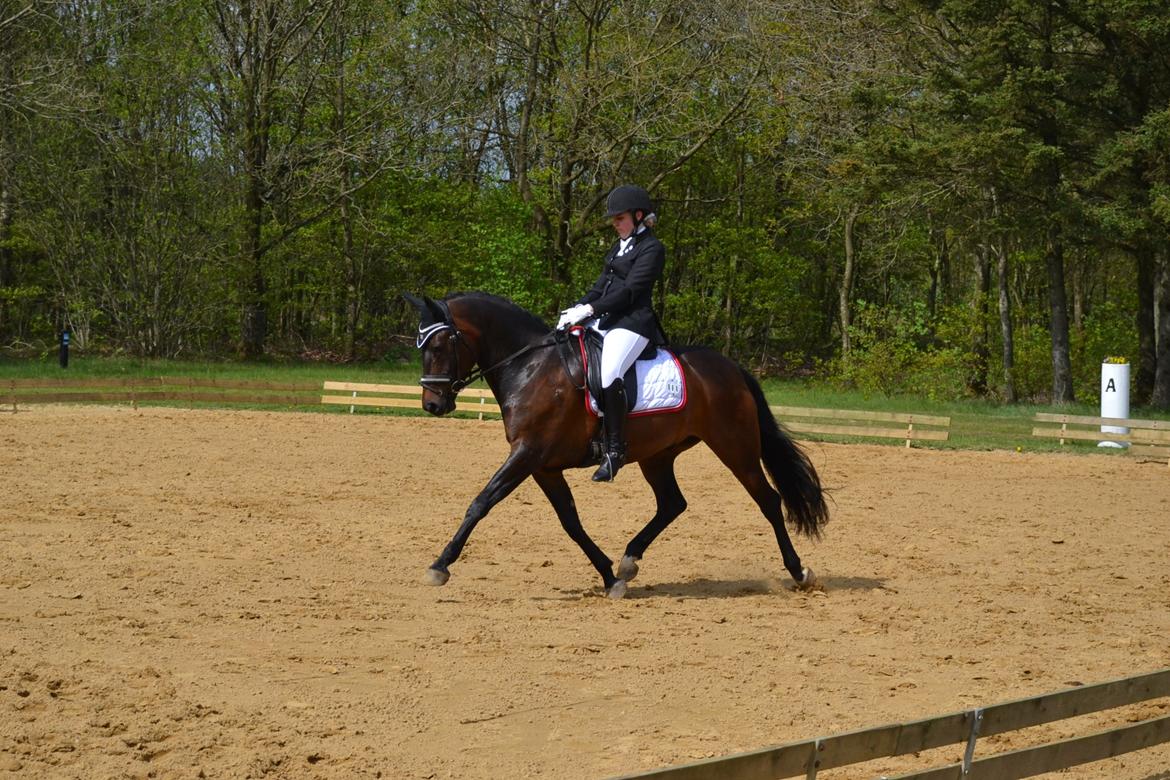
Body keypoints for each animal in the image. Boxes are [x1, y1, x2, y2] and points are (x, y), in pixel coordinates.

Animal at [404, 291, 829, 599]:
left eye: (438, 346)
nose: (432, 405)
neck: (531, 369)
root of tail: (731, 368)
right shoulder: (544, 467)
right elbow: (571, 522)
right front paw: (610, 577)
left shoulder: (527, 455)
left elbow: (481, 503)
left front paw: (440, 566)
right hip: (658, 455)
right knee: (672, 503)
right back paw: (629, 561)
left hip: (734, 447)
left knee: (768, 500)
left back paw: (799, 571)